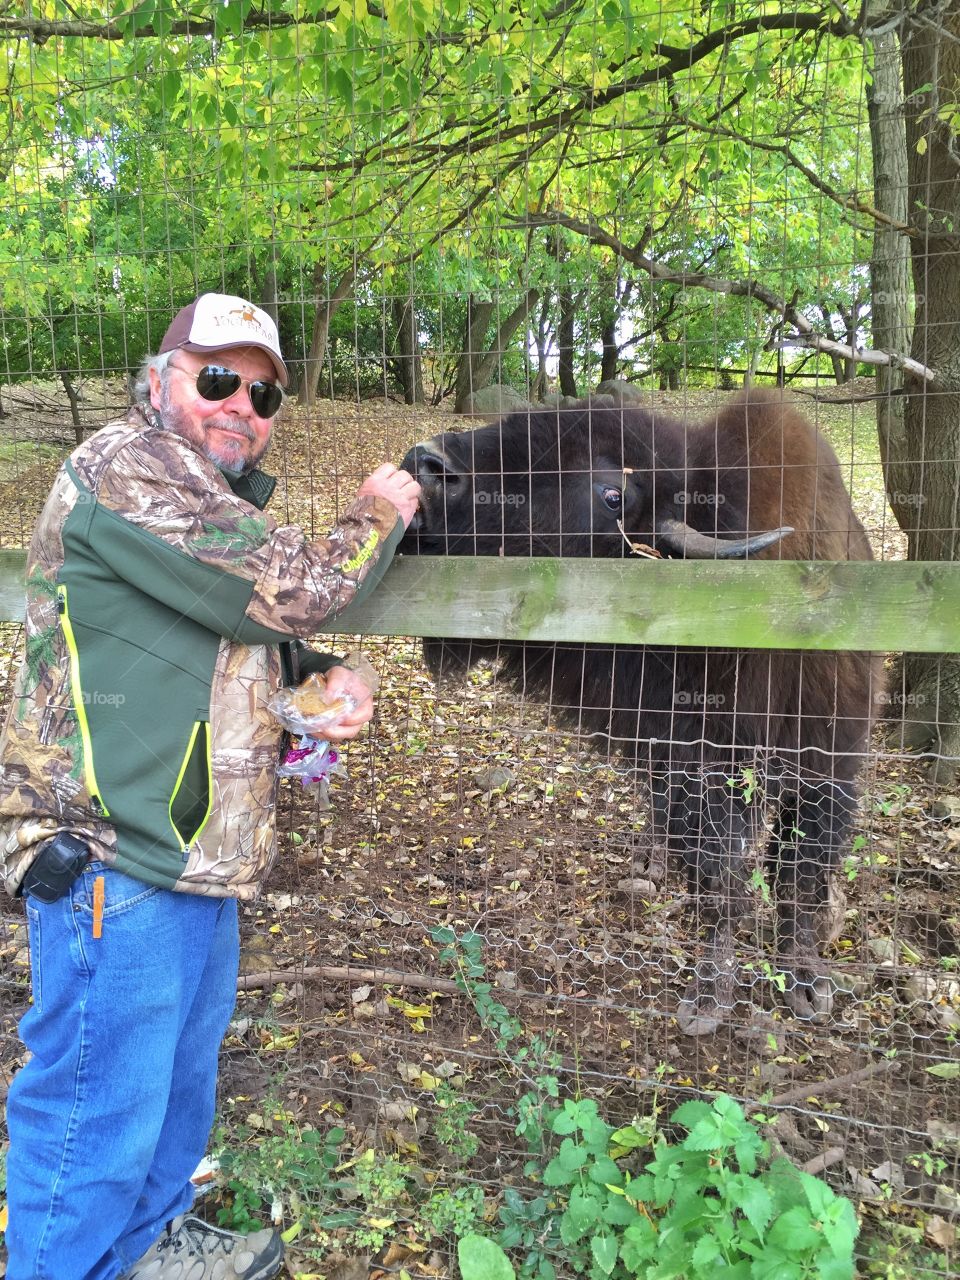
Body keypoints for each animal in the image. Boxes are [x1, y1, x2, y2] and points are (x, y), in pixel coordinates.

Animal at [399, 390, 882, 1035]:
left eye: (612, 494)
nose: (427, 464)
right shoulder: (693, 769)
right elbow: (720, 879)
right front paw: (710, 997)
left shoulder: (827, 765)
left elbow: (798, 875)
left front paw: (802, 984)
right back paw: (653, 863)